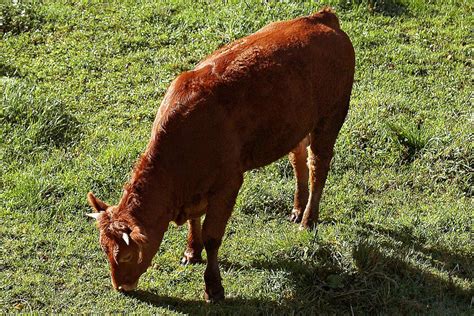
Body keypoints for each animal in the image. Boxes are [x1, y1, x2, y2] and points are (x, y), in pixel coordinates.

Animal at [85, 8, 354, 302]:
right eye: (103, 250)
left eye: (126, 255)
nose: (120, 287)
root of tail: (321, 17)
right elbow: (194, 222)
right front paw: (191, 251)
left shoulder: (229, 182)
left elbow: (213, 236)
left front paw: (213, 287)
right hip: (296, 125)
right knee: (298, 158)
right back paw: (297, 208)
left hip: (331, 117)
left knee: (318, 165)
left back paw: (308, 219)